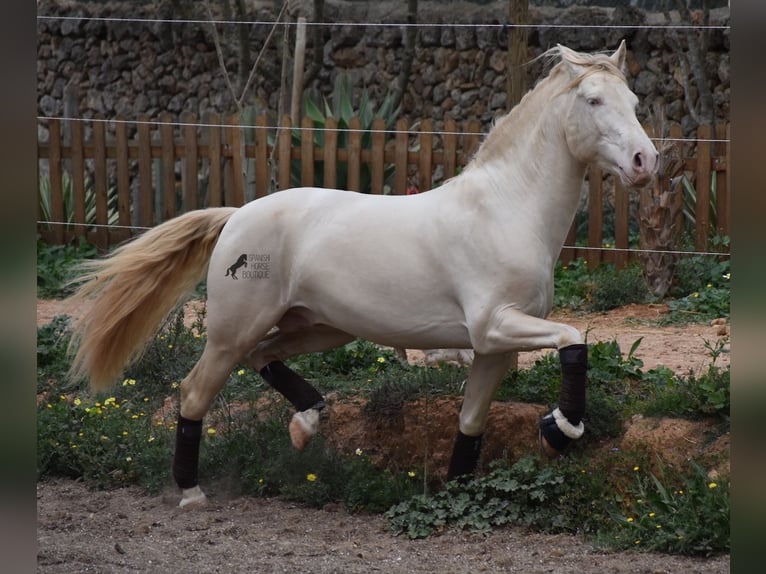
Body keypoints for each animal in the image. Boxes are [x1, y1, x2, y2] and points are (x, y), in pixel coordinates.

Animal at [69, 44, 660, 508]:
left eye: (634, 103)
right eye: (592, 100)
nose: (645, 162)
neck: (505, 210)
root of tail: (236, 215)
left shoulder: (492, 349)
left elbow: (471, 422)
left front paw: (457, 492)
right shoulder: (495, 325)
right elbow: (574, 339)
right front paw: (558, 431)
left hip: (320, 327)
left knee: (265, 356)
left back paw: (306, 426)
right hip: (231, 331)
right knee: (195, 393)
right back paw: (192, 492)